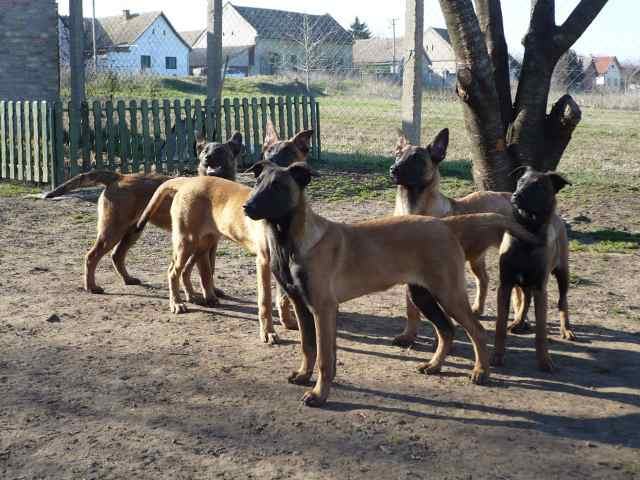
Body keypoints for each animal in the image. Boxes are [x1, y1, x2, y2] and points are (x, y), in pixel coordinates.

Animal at [42, 133, 242, 294]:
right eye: (204, 151)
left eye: (219, 151)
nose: (206, 158)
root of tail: (119, 176)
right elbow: (203, 272)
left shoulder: (211, 245)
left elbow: (211, 269)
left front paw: (213, 291)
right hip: (112, 231)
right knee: (91, 256)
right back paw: (91, 287)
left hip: (132, 231)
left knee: (116, 256)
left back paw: (128, 279)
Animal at [136, 125, 314, 344]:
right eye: (258, 183)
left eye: (277, 186)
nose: (248, 207)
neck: (282, 223)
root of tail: (187, 182)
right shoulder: (264, 261)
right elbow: (264, 300)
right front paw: (268, 332)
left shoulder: (284, 263)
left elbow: (283, 297)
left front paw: (288, 322)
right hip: (186, 241)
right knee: (172, 271)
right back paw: (176, 303)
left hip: (205, 242)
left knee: (189, 269)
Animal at [242, 160, 544, 404]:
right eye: (257, 183)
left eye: (278, 186)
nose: (247, 207)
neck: (292, 244)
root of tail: (446, 225)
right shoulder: (302, 306)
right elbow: (308, 347)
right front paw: (304, 375)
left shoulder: (323, 309)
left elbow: (325, 358)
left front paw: (318, 394)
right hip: (422, 294)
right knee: (446, 330)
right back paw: (434, 366)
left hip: (448, 293)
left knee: (476, 331)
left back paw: (481, 372)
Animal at [390, 127, 536, 344]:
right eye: (398, 154)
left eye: (416, 158)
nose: (393, 169)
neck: (414, 206)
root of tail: (510, 197)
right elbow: (412, 310)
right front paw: (408, 335)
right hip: (476, 258)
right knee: (484, 279)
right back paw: (479, 309)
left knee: (521, 291)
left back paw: (520, 321)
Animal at [490, 167, 576, 374]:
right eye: (521, 181)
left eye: (538, 185)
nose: (516, 195)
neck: (527, 232)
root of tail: (558, 218)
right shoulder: (505, 284)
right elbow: (499, 325)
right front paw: (497, 356)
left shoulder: (540, 288)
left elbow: (541, 331)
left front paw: (545, 361)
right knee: (526, 298)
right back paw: (518, 322)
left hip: (563, 274)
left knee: (563, 301)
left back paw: (566, 329)